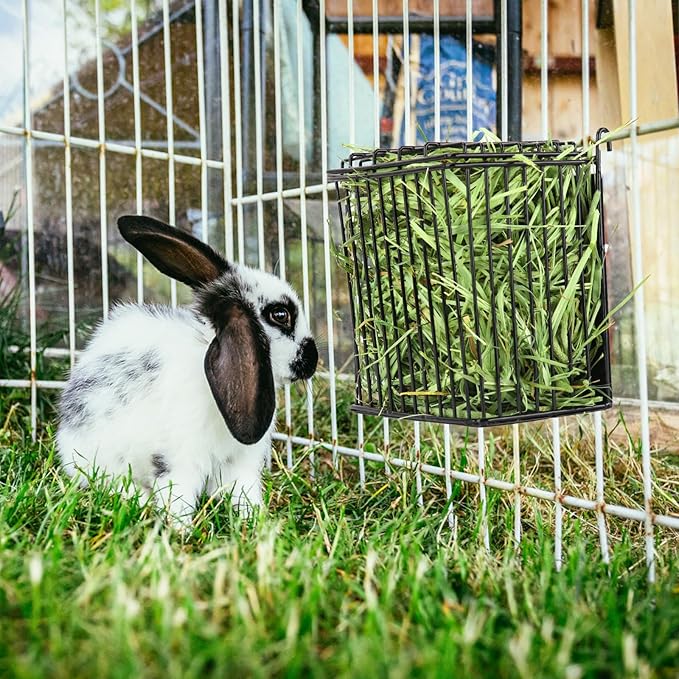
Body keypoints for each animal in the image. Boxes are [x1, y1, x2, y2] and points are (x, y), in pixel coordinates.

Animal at [56, 214, 318, 526]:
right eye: (280, 315)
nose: (313, 359)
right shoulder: (179, 460)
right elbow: (178, 496)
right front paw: (180, 529)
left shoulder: (241, 463)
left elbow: (244, 493)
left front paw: (254, 523)